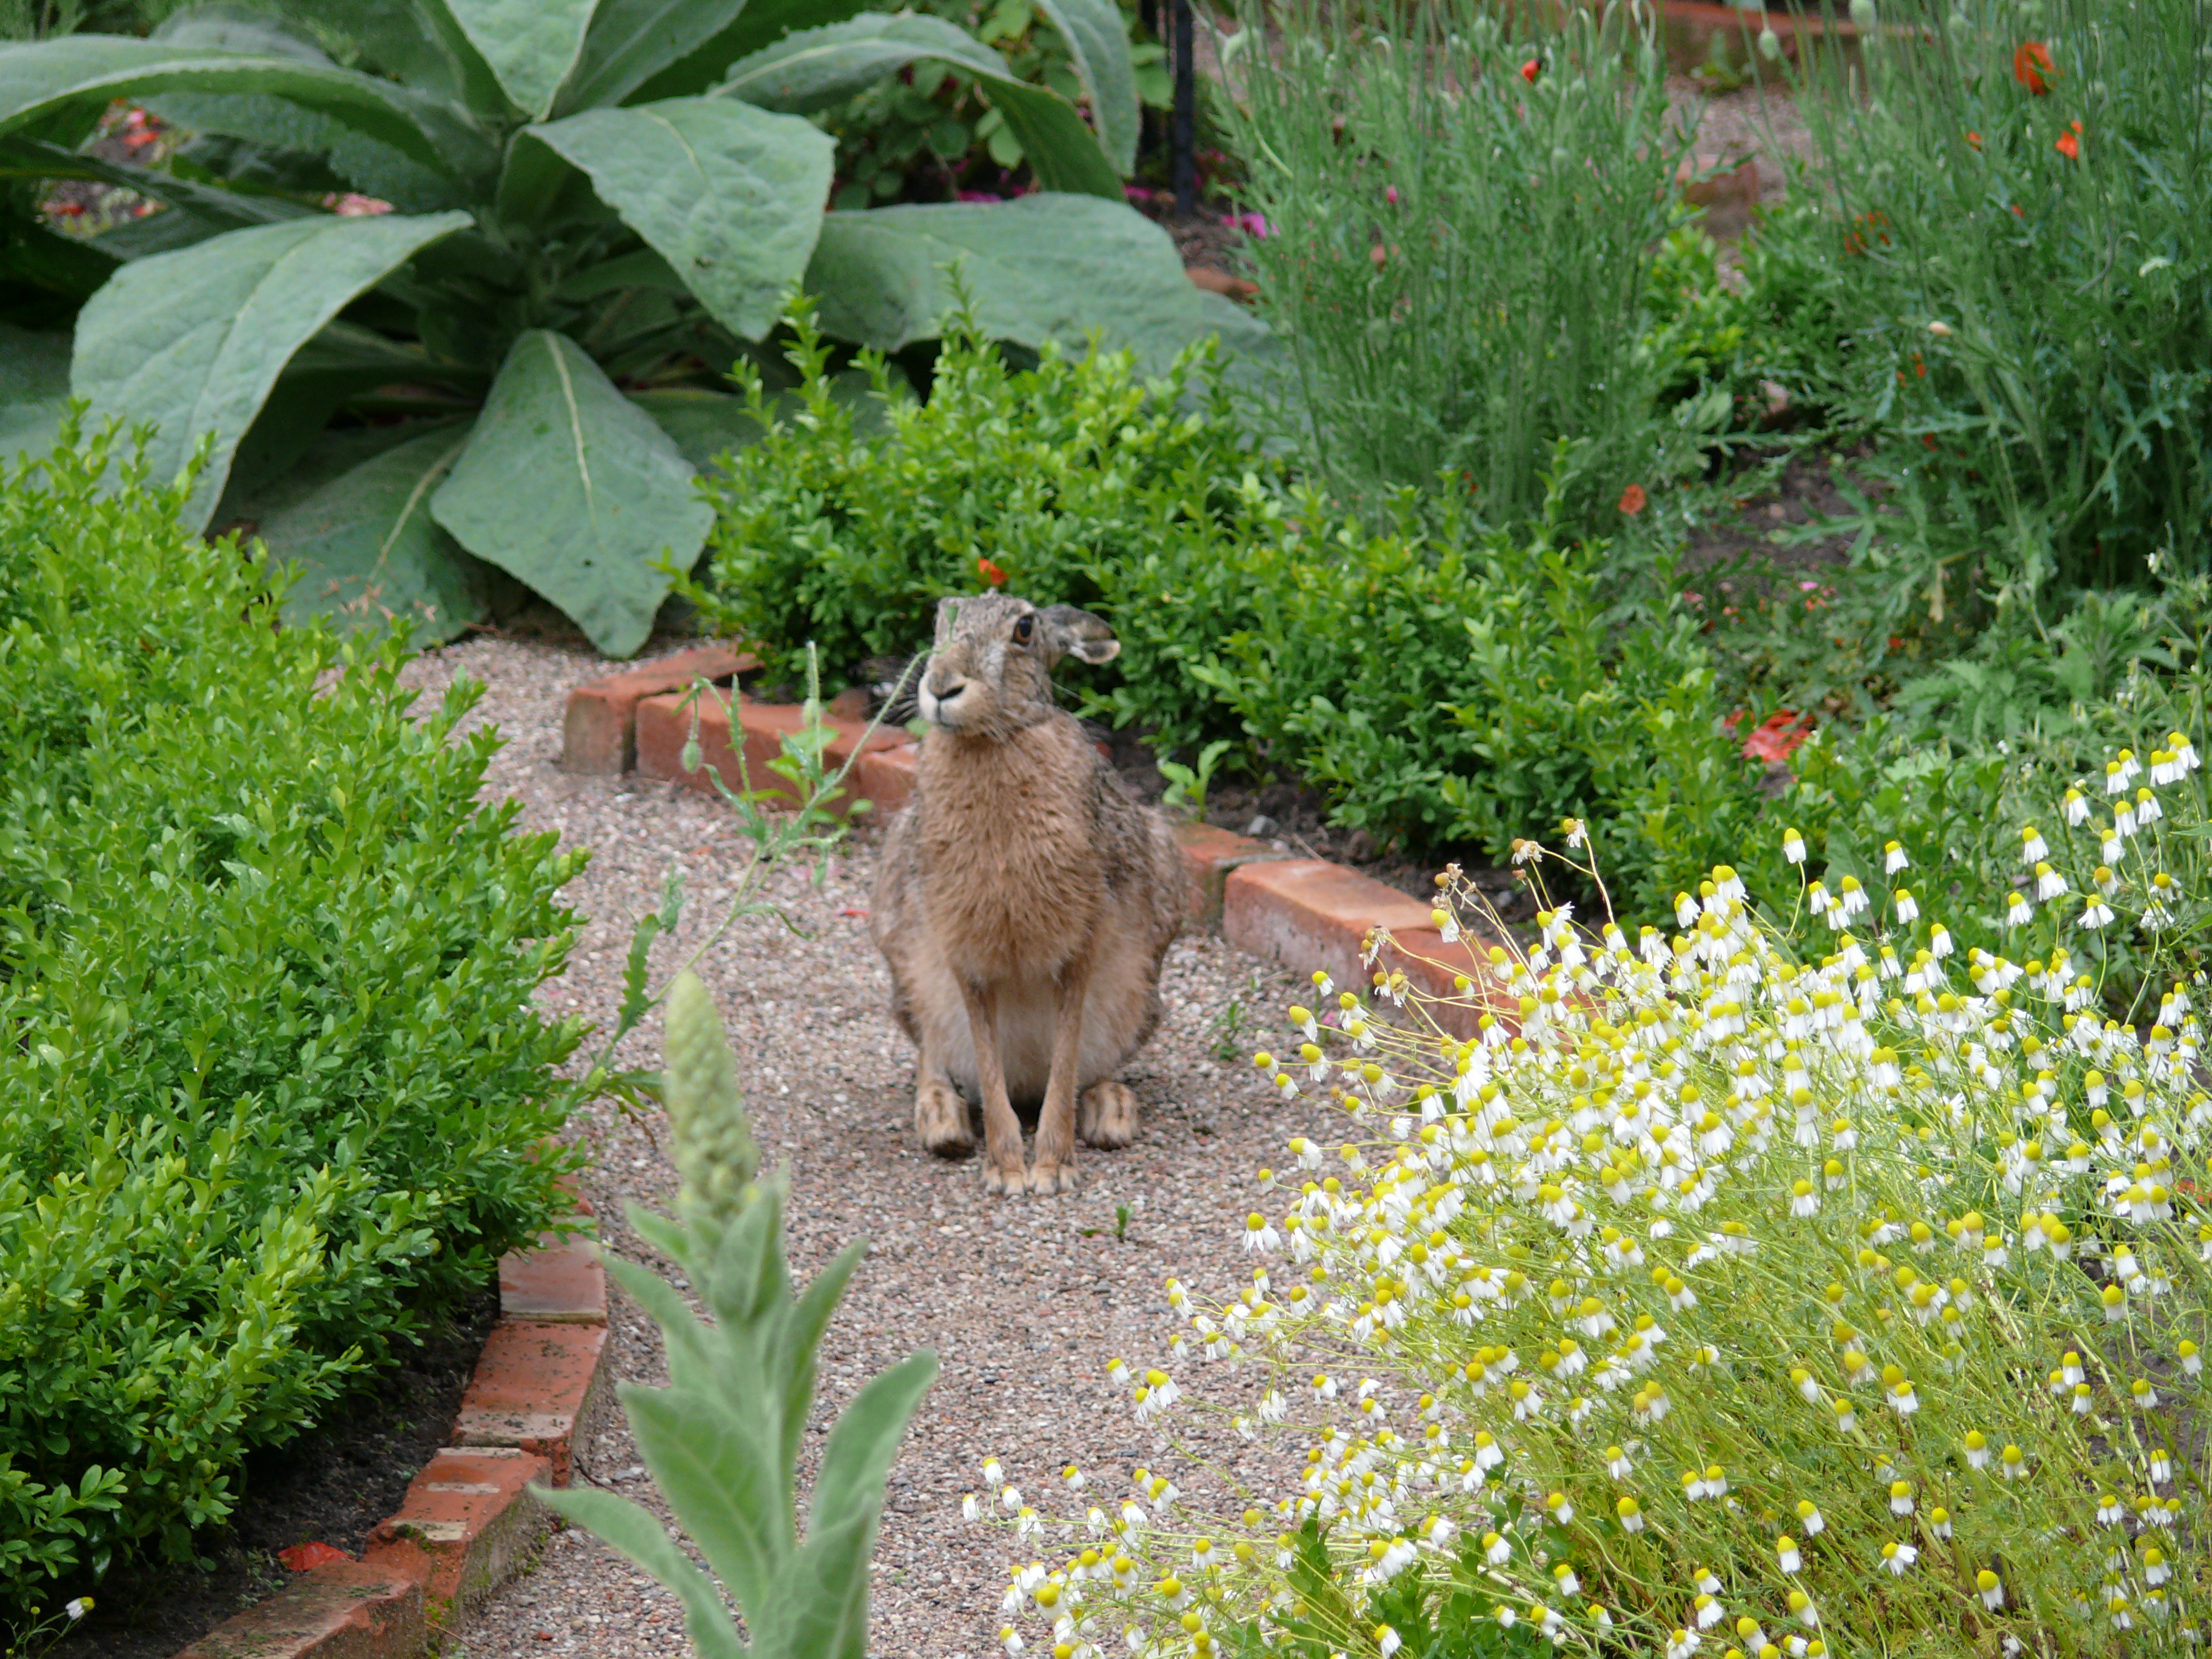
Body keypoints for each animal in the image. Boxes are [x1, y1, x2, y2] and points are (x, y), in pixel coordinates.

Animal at [870, 594, 1187, 1195]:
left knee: (1088, 1069)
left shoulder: (1079, 946)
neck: (996, 740)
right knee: (934, 1058)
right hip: (908, 973)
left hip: (1140, 994)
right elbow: (987, 1065)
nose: (941, 685)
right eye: (940, 618)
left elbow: (1064, 1063)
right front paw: (1006, 1172)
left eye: (1023, 630)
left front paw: (1053, 1170)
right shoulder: (965, 957)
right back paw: (942, 1122)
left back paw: (1112, 1113)